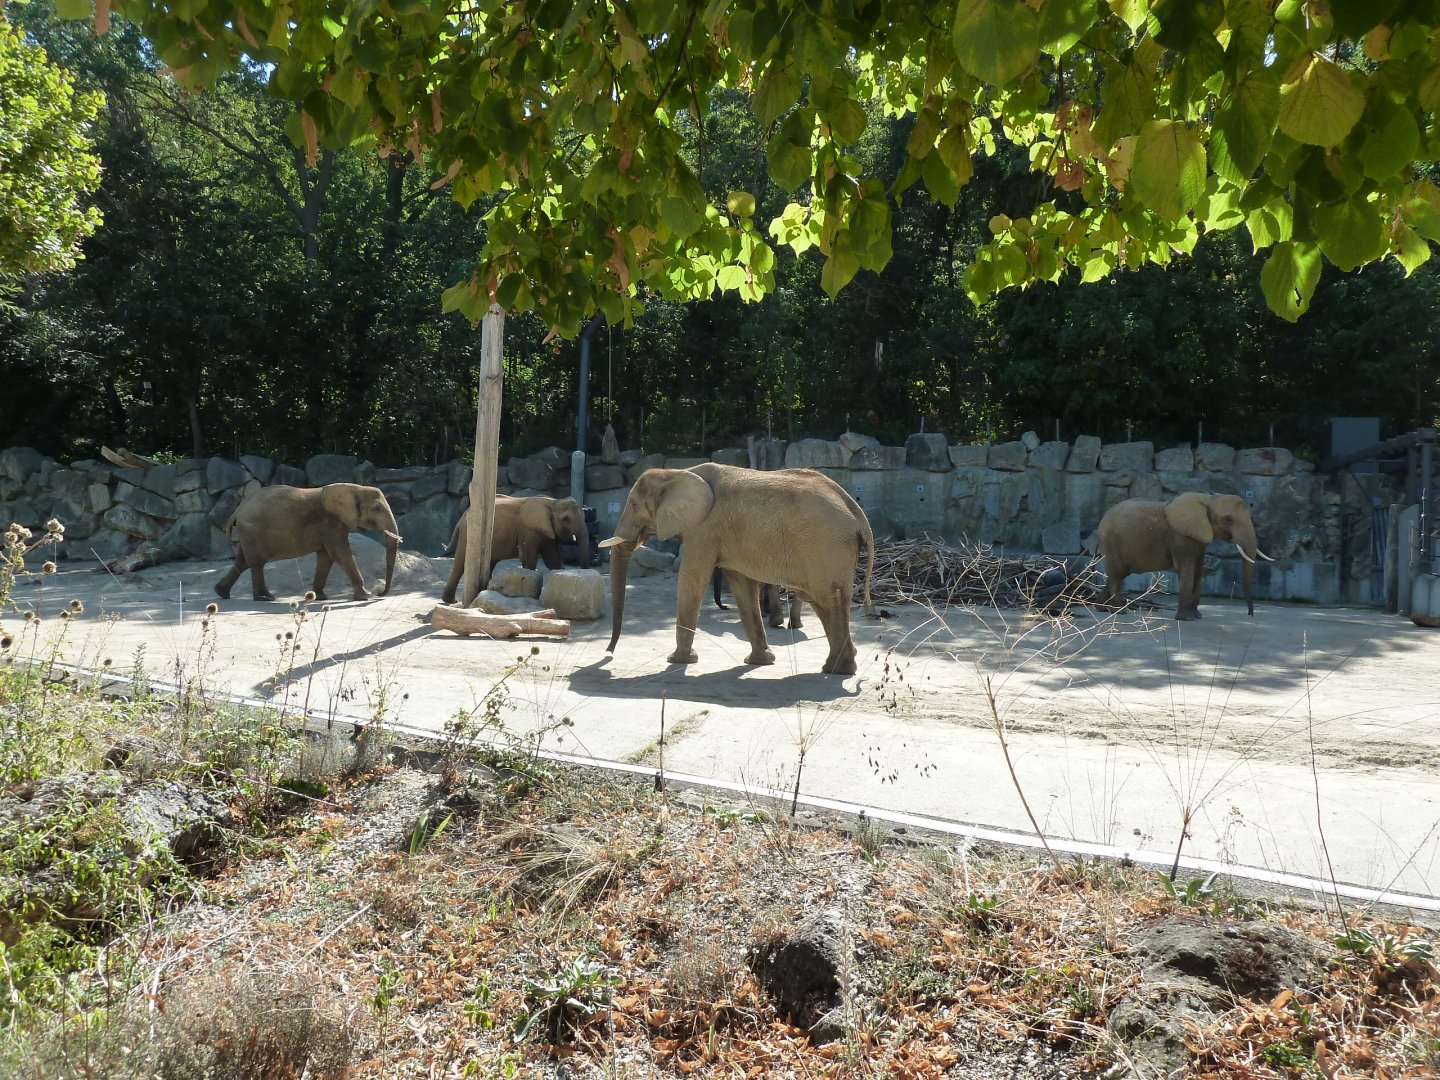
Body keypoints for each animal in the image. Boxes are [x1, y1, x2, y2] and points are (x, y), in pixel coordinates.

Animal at [214, 483, 401, 602]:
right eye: (377, 509)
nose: (379, 594)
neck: (355, 488)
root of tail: (237, 510)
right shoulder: (330, 523)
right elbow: (340, 554)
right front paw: (365, 596)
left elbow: (326, 558)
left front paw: (321, 597)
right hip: (252, 530)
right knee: (256, 563)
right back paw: (266, 598)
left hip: (247, 533)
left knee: (243, 562)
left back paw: (222, 593)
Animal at [442, 494, 590, 604]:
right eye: (566, 519)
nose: (583, 570)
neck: (553, 502)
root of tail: (462, 516)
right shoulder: (529, 529)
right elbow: (530, 557)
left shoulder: (548, 531)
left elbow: (552, 560)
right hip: (468, 534)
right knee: (460, 564)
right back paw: (452, 601)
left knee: (489, 563)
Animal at [600, 463, 875, 675]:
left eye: (634, 505)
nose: (608, 652)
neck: (676, 472)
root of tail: (859, 515)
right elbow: (742, 586)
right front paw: (759, 662)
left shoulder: (704, 530)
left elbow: (692, 578)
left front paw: (678, 660)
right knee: (824, 603)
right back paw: (836, 667)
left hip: (828, 547)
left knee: (828, 600)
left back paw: (837, 670)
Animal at [1096, 491, 1270, 620]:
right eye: (1227, 519)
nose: (1250, 614)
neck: (1209, 499)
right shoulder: (1179, 535)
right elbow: (1187, 569)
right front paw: (1185, 618)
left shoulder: (1199, 538)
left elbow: (1198, 570)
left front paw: (1197, 617)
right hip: (1111, 540)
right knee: (1116, 575)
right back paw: (1118, 611)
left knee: (1117, 574)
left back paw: (1102, 608)